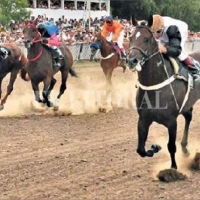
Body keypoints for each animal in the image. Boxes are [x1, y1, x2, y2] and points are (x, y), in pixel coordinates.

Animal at [127, 17, 200, 170]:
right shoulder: (143, 119)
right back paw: (185, 148)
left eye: (147, 39)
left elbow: (171, 146)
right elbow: (140, 150)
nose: (132, 61)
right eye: (130, 37)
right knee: (189, 116)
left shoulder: (172, 121)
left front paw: (173, 168)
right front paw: (154, 148)